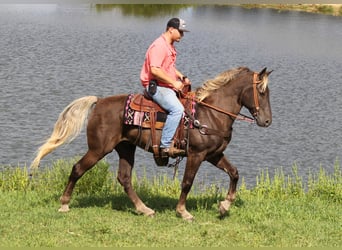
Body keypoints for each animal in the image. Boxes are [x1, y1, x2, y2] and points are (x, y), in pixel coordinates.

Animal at [30, 66, 274, 221]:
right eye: (261, 91)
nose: (267, 121)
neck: (209, 114)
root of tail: (99, 102)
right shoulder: (196, 155)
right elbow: (187, 183)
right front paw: (183, 212)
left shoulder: (213, 154)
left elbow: (234, 173)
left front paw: (224, 206)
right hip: (98, 149)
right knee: (78, 169)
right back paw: (64, 204)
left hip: (125, 148)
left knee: (124, 178)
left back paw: (144, 209)